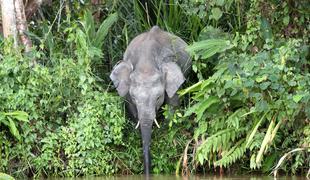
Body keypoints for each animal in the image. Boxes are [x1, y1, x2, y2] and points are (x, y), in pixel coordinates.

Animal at [109, 25, 191, 174]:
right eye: (134, 98)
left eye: (158, 97)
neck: (147, 64)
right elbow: (130, 107)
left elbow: (173, 103)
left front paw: (161, 129)